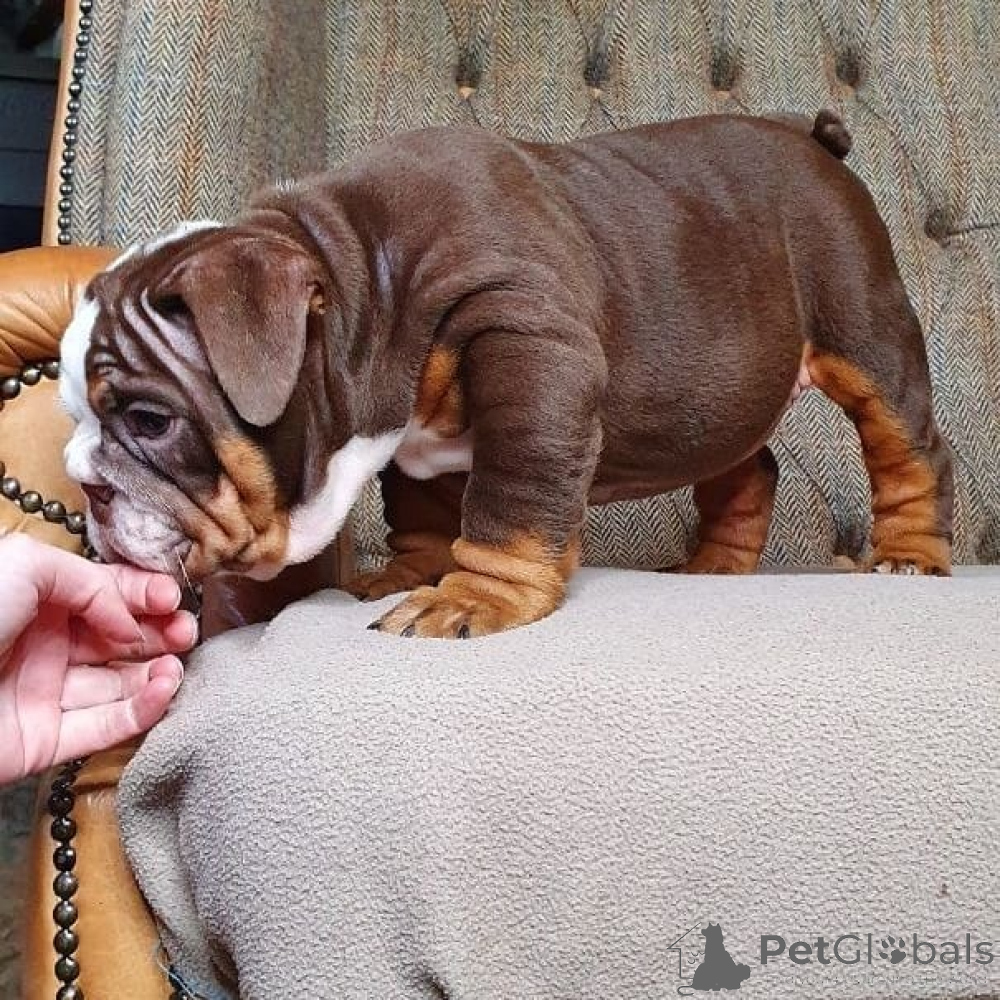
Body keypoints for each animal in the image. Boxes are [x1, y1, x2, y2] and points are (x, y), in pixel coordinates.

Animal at [59, 111, 953, 638]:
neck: (366, 274)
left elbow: (511, 495)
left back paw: (909, 557)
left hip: (863, 322)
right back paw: (714, 567)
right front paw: (413, 571)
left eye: (148, 421)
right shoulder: (411, 434)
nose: (86, 489)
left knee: (909, 447)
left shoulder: (531, 348)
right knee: (748, 466)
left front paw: (473, 597)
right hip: (721, 392)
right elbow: (421, 506)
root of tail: (811, 135)